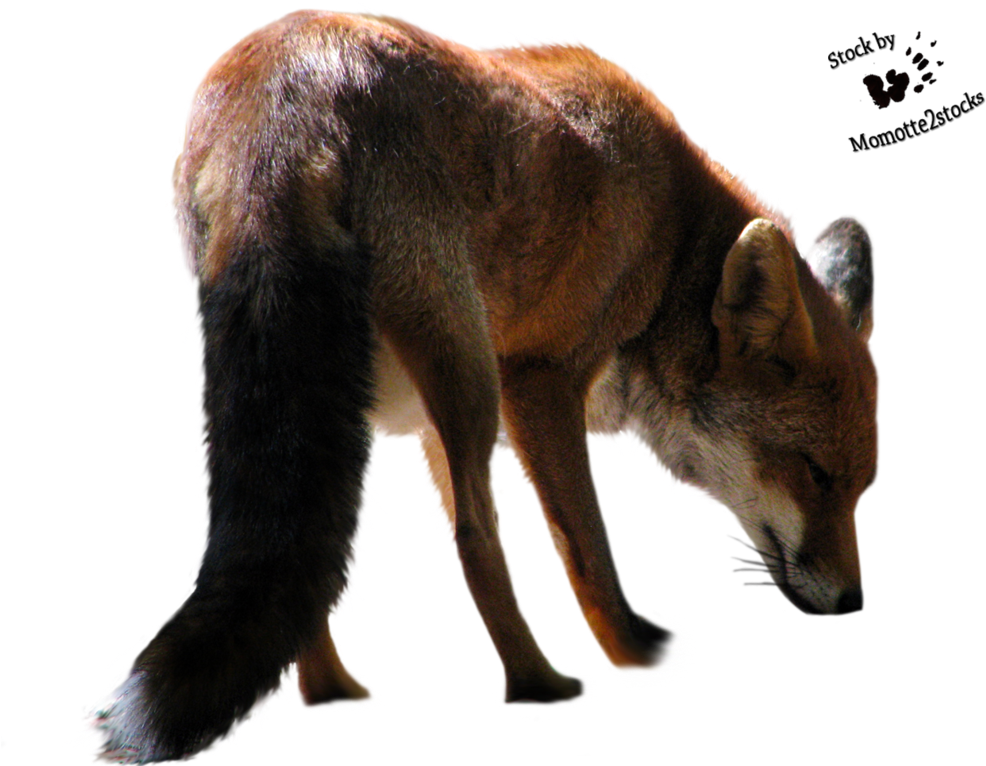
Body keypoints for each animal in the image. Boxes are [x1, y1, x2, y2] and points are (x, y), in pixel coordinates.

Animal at [84, 8, 880, 765]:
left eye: (859, 489)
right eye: (813, 475)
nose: (854, 606)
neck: (669, 242)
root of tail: (281, 98)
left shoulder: (432, 427)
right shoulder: (541, 379)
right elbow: (589, 553)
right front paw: (633, 654)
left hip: (380, 396)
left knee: (314, 556)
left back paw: (332, 692)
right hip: (469, 369)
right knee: (474, 534)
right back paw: (540, 685)